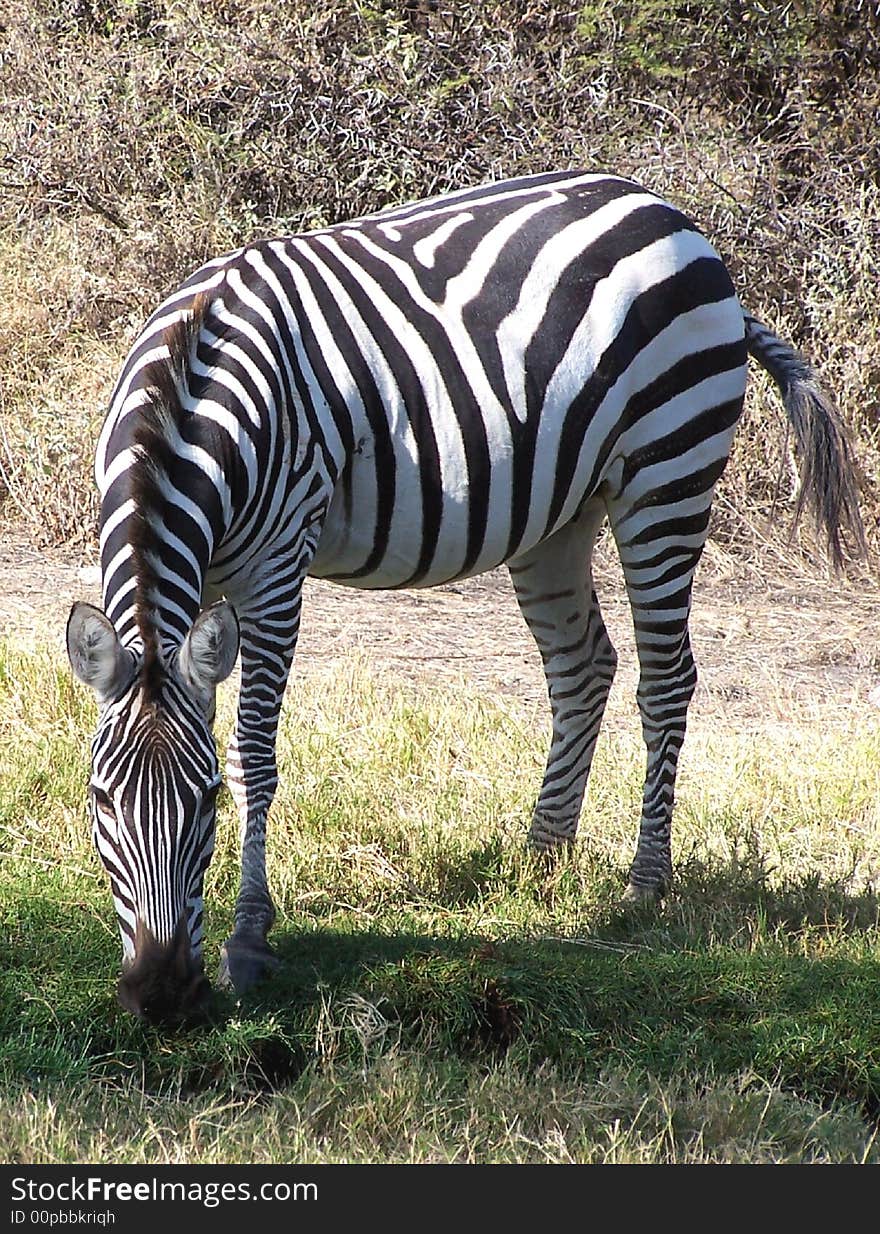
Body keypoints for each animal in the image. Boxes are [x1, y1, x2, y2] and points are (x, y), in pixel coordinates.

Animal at [65, 171, 863, 1021]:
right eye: (100, 801)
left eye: (207, 801)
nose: (161, 994)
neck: (186, 401)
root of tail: (675, 218)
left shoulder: (277, 566)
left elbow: (254, 747)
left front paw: (249, 936)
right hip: (562, 511)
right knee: (583, 667)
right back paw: (542, 858)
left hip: (668, 472)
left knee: (667, 677)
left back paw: (644, 884)